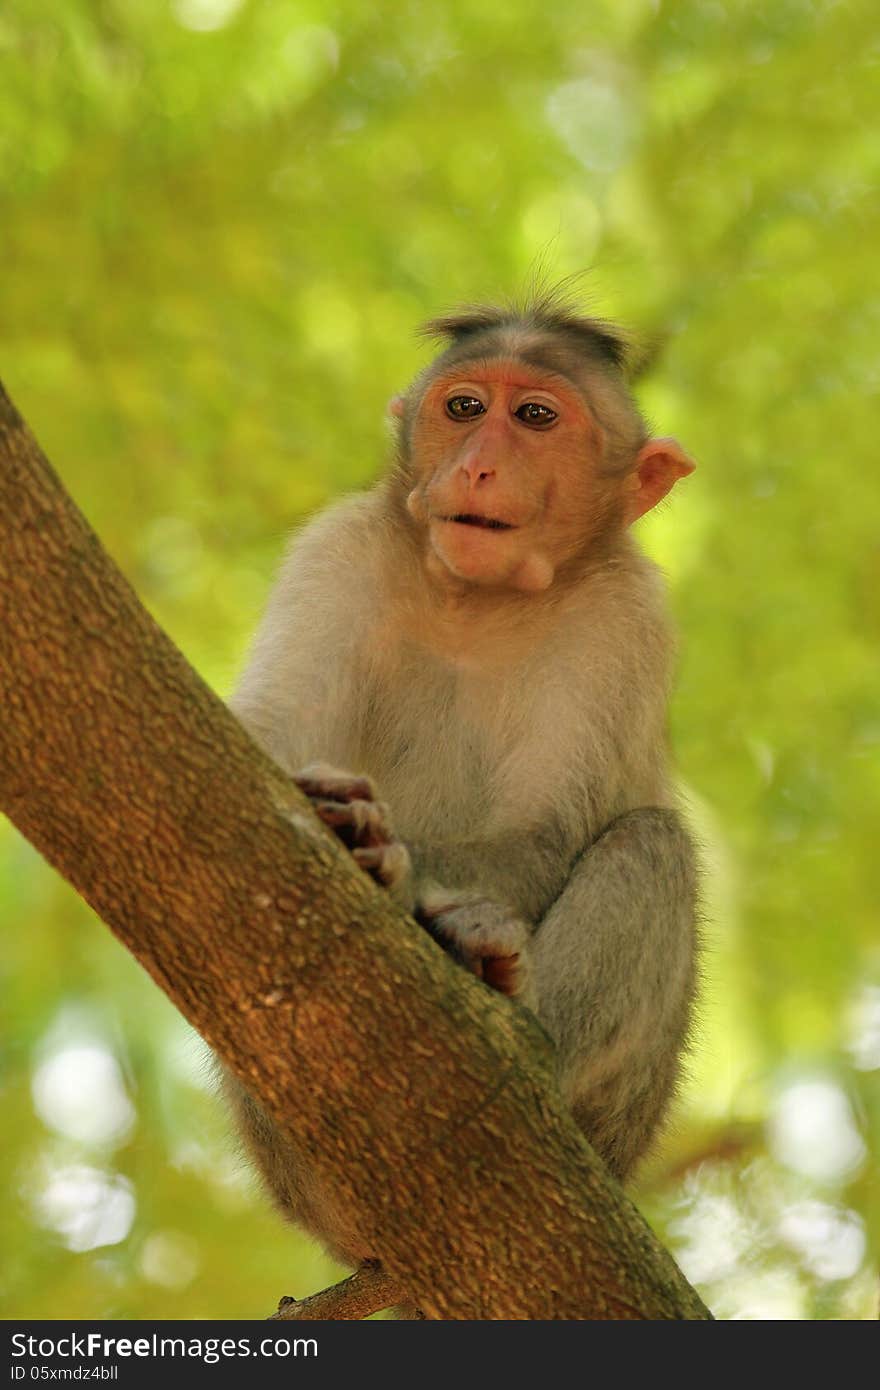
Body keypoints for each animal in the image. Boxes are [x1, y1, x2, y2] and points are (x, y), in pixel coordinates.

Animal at [225, 290, 700, 1273]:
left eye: (536, 417)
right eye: (466, 407)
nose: (476, 465)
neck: (475, 604)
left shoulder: (628, 612)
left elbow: (545, 831)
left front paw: (393, 855)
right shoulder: (340, 548)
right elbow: (262, 732)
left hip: (628, 1116)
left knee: (652, 844)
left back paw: (507, 994)